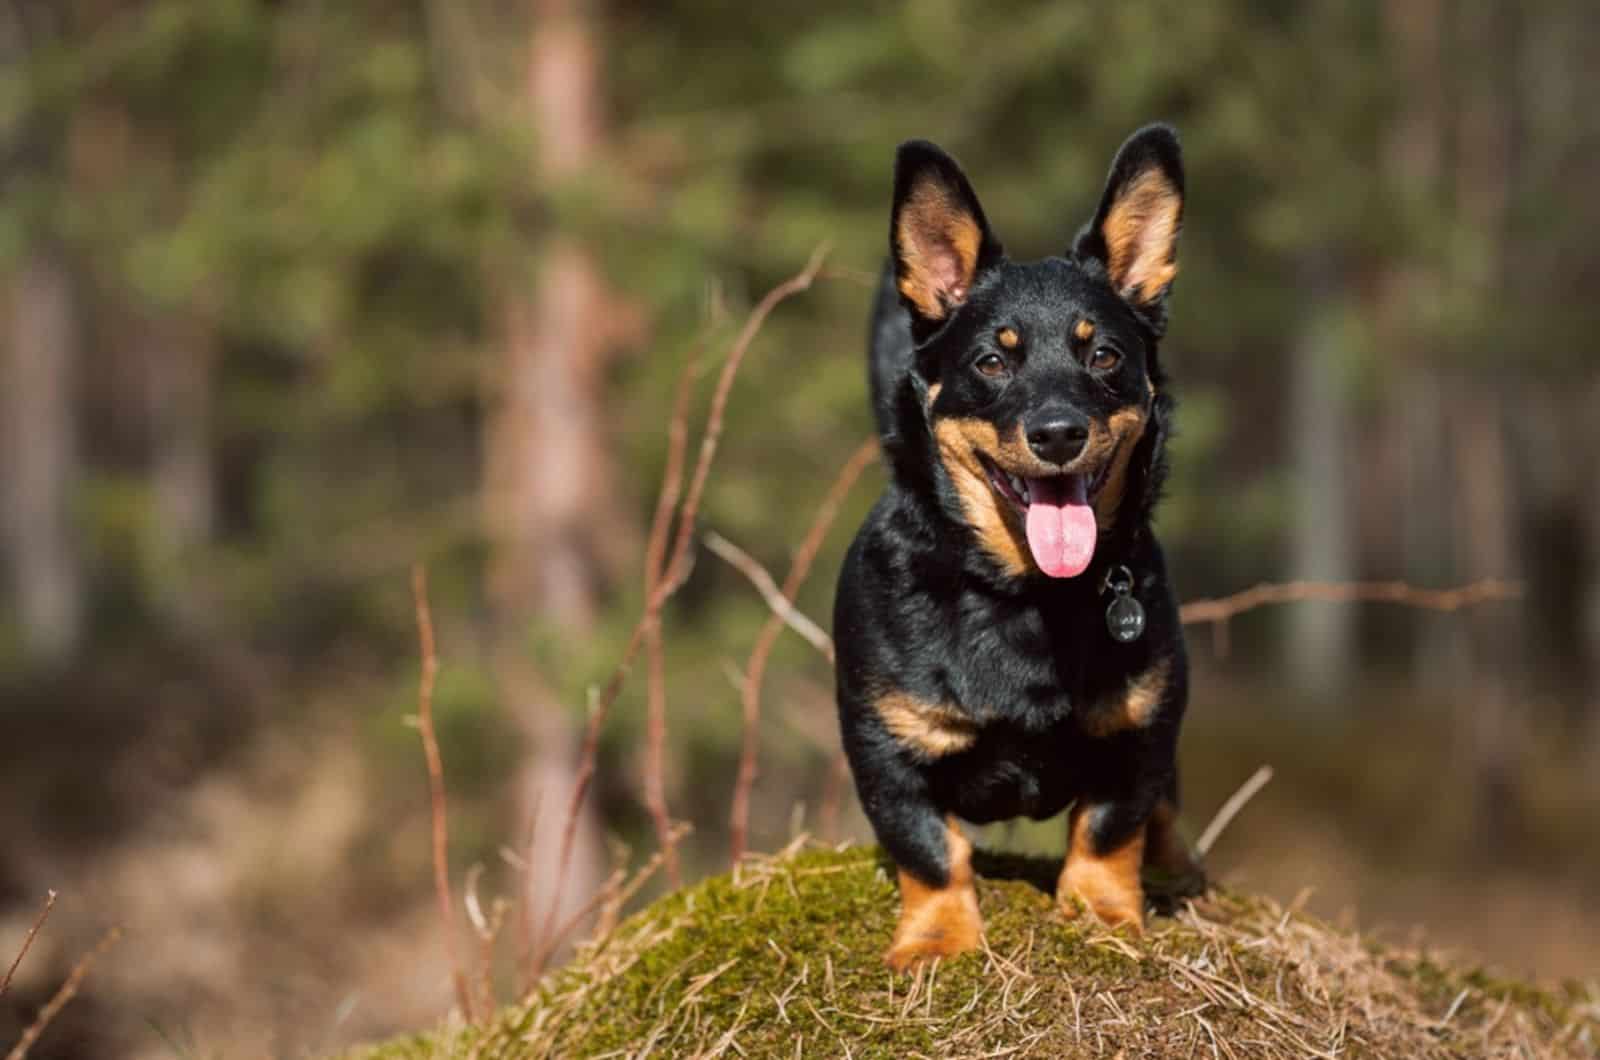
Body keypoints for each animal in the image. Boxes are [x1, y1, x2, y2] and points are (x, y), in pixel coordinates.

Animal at [838, 124, 1203, 973]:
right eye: (992, 361)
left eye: (1103, 355)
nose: (1058, 433)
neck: (1026, 594)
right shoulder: (884, 749)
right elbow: (930, 849)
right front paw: (938, 939)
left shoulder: (1142, 730)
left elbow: (1110, 827)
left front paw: (1101, 914)